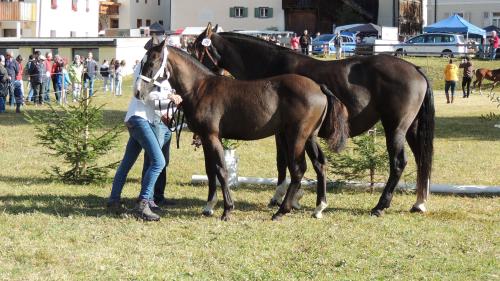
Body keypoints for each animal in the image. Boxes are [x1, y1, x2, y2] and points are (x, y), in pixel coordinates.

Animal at [137, 42, 348, 221]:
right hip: (309, 137)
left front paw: (227, 210)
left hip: (296, 137)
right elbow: (210, 170)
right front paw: (209, 207)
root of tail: (319, 87)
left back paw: (281, 211)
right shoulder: (205, 138)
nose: (139, 92)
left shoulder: (213, 137)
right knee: (319, 165)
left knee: (298, 170)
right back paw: (319, 207)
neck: (201, 88)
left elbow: (221, 170)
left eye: (151, 62)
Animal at [190, 24, 434, 217]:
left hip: (395, 128)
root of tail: (414, 68)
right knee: (421, 160)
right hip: (411, 128)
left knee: (399, 163)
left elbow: (284, 162)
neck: (272, 67)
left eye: (195, 48)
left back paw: (380, 206)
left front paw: (282, 198)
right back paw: (419, 203)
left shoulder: (283, 132)